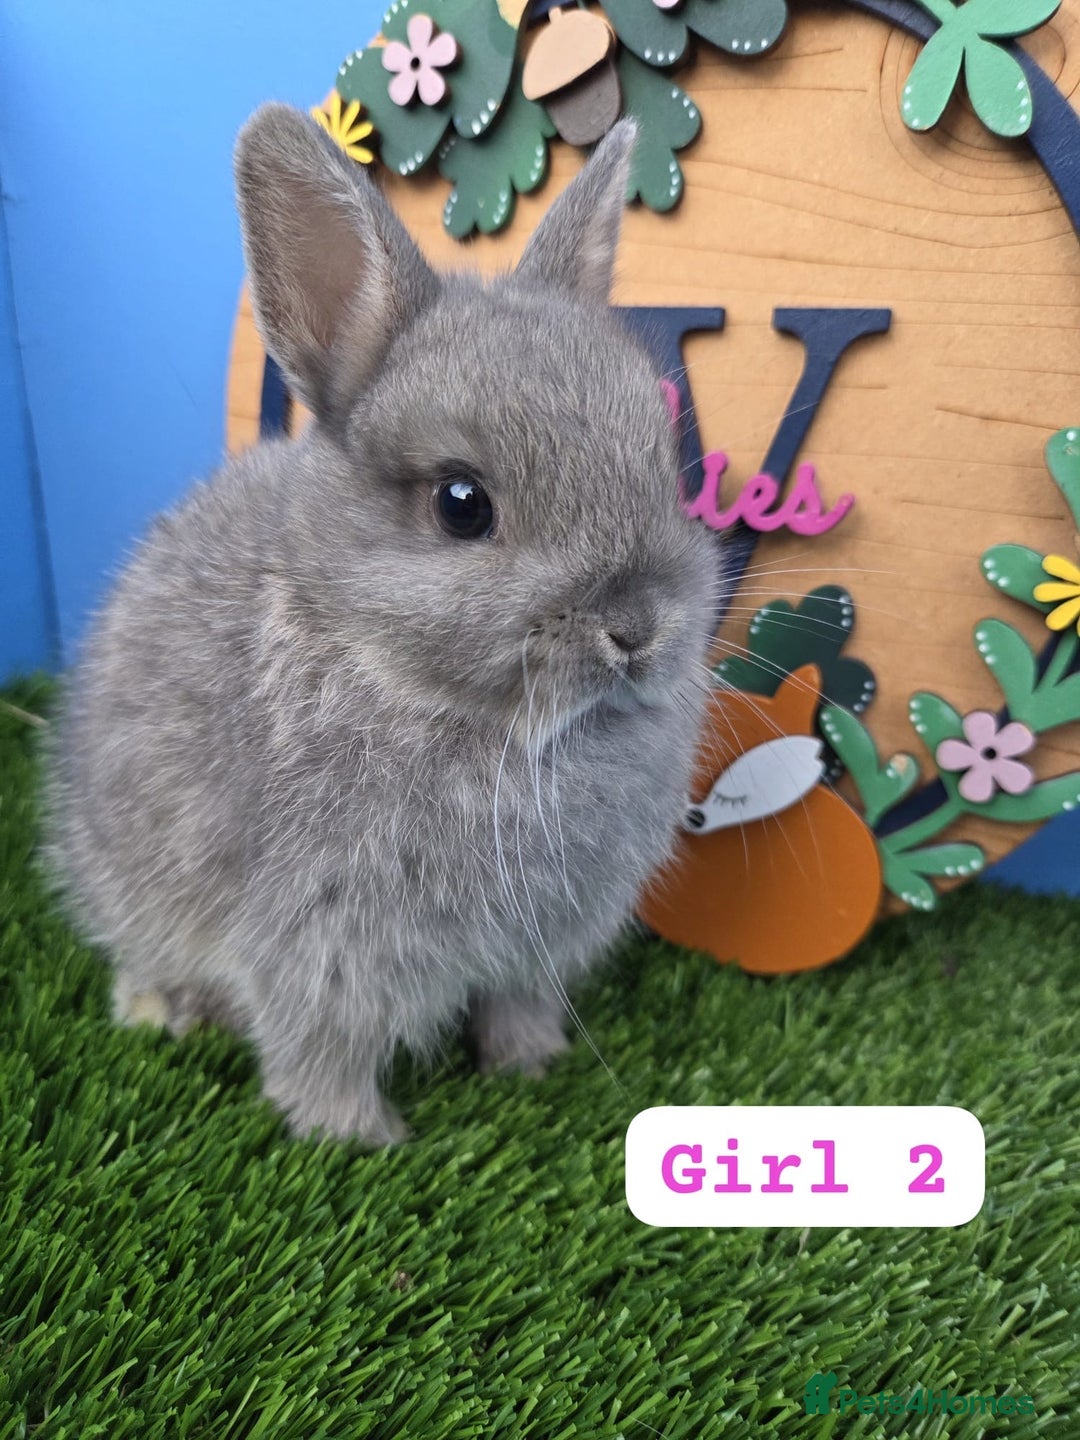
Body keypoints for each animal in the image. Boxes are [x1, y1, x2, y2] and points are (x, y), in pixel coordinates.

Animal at [43, 103, 716, 1146]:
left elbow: (516, 1008)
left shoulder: (535, 951)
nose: (639, 627)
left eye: (663, 457)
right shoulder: (321, 941)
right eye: (461, 504)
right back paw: (165, 1010)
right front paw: (361, 1141)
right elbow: (319, 1053)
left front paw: (531, 1069)